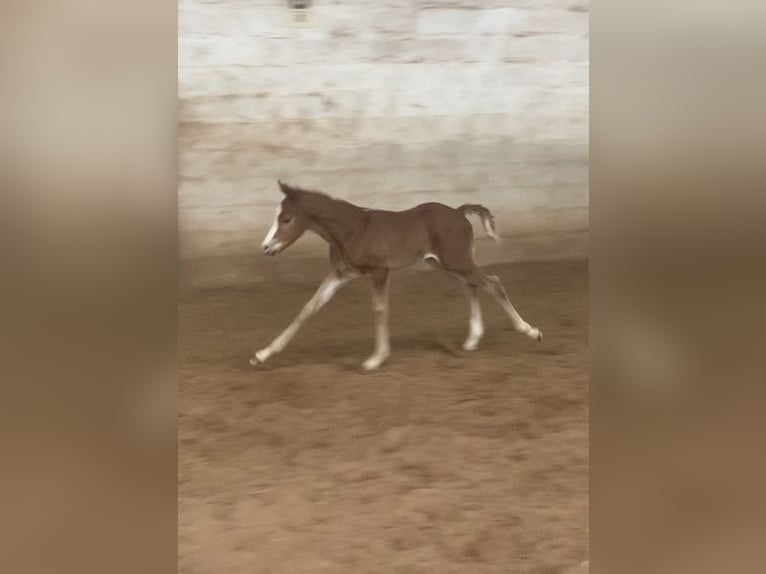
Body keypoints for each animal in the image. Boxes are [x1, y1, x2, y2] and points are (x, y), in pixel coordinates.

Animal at [250, 181, 542, 370]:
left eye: (286, 219)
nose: (265, 247)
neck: (352, 229)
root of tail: (459, 212)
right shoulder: (341, 273)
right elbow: (309, 307)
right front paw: (262, 354)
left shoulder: (379, 272)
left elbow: (380, 309)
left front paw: (375, 359)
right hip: (445, 264)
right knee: (471, 287)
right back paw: (471, 340)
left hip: (457, 261)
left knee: (493, 283)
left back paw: (530, 331)